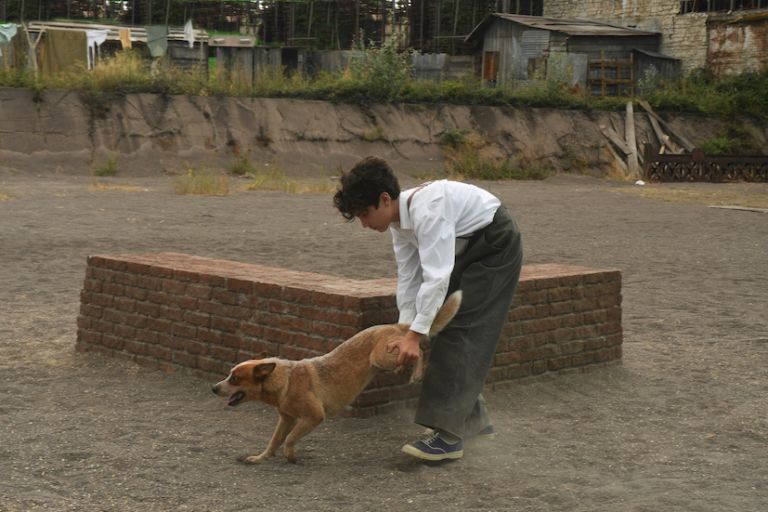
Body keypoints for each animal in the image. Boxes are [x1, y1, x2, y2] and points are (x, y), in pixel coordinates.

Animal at [212, 290, 462, 462]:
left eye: (234, 378)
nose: (213, 388)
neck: (285, 380)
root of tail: (397, 325)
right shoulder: (286, 419)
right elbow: (275, 440)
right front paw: (261, 457)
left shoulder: (314, 416)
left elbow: (290, 438)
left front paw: (290, 456)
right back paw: (403, 369)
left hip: (381, 356)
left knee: (418, 350)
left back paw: (417, 372)